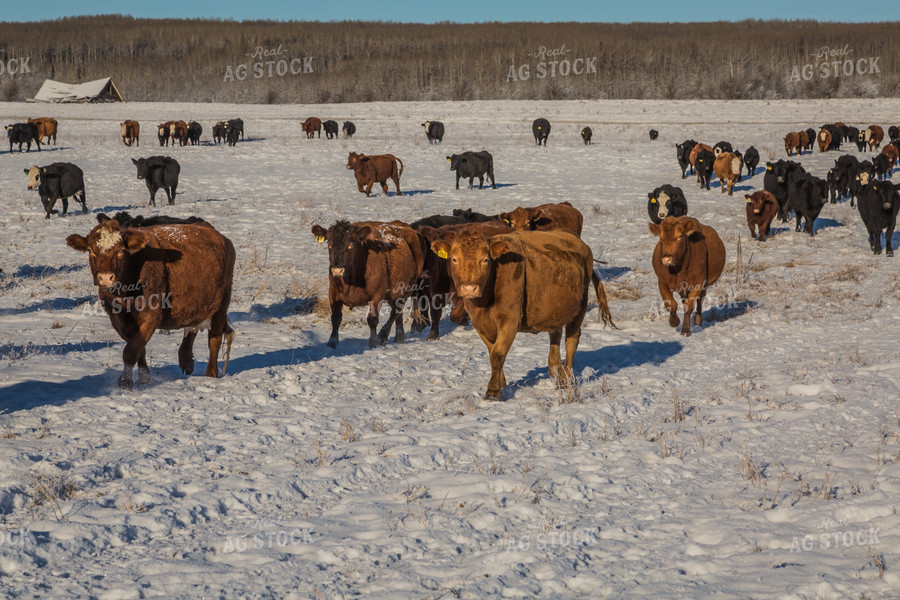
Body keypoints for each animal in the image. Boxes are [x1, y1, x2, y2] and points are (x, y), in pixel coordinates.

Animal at [66, 218, 236, 386]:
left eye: (120, 251)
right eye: (91, 251)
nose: (106, 277)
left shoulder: (151, 315)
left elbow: (131, 351)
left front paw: (125, 381)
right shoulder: (118, 319)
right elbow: (139, 348)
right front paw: (145, 378)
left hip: (221, 305)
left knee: (214, 339)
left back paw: (211, 374)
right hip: (196, 305)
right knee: (191, 328)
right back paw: (186, 361)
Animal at [312, 219, 424, 352]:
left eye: (351, 244)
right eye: (329, 243)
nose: (337, 270)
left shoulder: (377, 295)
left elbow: (372, 319)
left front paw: (373, 342)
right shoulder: (333, 292)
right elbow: (336, 318)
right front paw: (332, 343)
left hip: (407, 288)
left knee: (396, 311)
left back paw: (383, 336)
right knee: (397, 312)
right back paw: (399, 337)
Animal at [432, 232, 616, 400]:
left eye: (485, 260)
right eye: (454, 259)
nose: (469, 288)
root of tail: (581, 244)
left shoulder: (510, 320)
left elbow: (497, 354)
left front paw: (493, 391)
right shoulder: (479, 323)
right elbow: (492, 351)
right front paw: (501, 383)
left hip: (579, 310)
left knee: (571, 342)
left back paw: (565, 379)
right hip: (554, 312)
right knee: (555, 337)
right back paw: (556, 373)